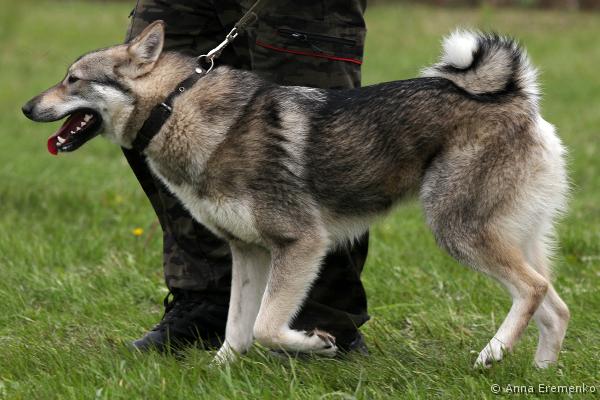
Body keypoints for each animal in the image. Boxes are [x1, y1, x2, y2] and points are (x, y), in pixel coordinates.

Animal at [23, 21, 569, 368]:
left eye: (73, 80)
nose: (26, 107)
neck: (174, 109)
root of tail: (518, 96)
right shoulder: (247, 252)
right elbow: (236, 328)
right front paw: (220, 370)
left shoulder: (301, 243)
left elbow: (266, 326)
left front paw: (319, 345)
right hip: (510, 236)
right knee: (555, 305)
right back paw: (541, 370)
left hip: (457, 231)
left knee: (533, 289)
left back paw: (492, 353)